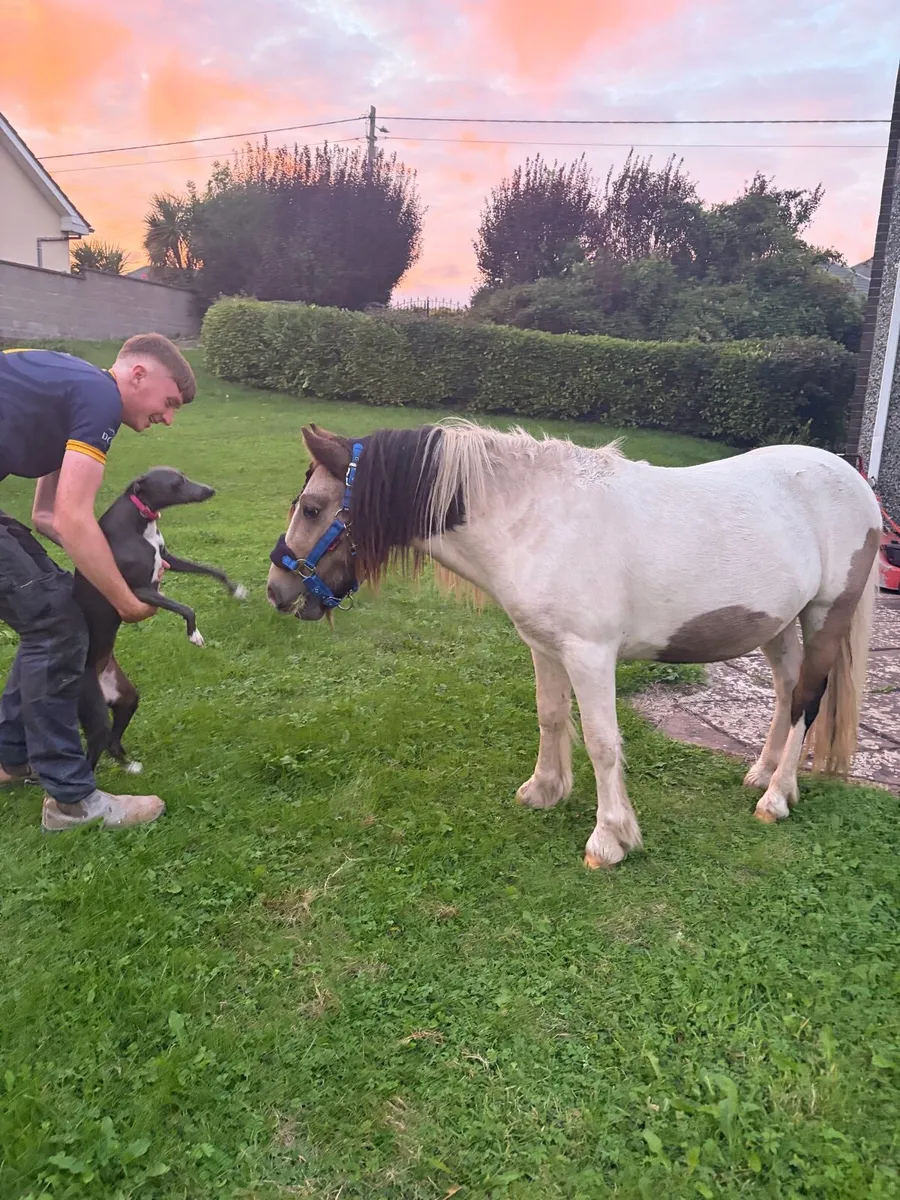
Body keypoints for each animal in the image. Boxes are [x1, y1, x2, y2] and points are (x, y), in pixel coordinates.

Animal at [266, 419, 881, 869]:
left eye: (313, 508)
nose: (276, 588)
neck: (534, 518)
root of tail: (857, 484)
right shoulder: (544, 646)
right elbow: (551, 716)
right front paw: (544, 790)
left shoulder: (590, 655)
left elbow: (603, 742)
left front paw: (610, 838)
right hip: (777, 624)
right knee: (786, 692)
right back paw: (763, 772)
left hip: (824, 615)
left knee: (808, 699)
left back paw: (775, 797)